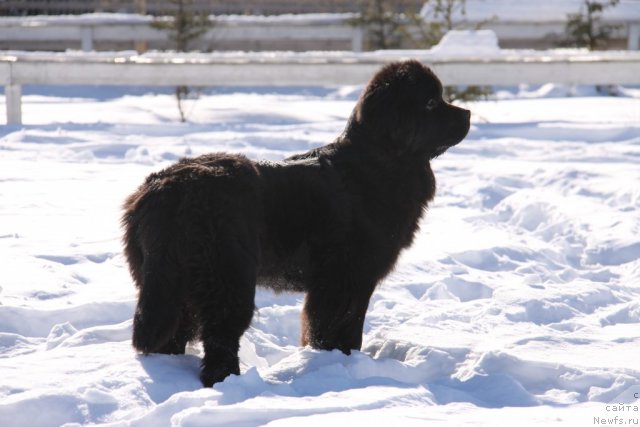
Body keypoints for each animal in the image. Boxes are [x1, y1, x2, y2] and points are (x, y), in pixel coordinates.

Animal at [121, 60, 470, 388]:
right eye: (430, 102)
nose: (468, 113)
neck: (382, 162)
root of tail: (165, 190)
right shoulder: (347, 279)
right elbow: (339, 328)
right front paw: (340, 361)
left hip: (167, 282)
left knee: (172, 333)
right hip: (226, 277)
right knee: (220, 337)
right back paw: (230, 382)